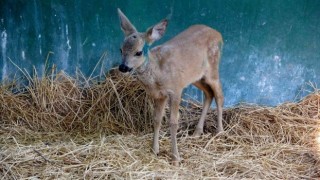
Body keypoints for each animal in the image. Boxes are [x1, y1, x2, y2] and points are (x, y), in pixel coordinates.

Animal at [116, 8, 224, 166]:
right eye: (120, 49)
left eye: (138, 52)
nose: (123, 67)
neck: (158, 73)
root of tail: (218, 34)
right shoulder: (160, 95)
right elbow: (156, 119)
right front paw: (154, 150)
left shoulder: (176, 89)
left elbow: (173, 122)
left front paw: (176, 158)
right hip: (195, 77)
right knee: (209, 94)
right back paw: (197, 132)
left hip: (212, 69)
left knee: (220, 95)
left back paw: (220, 132)